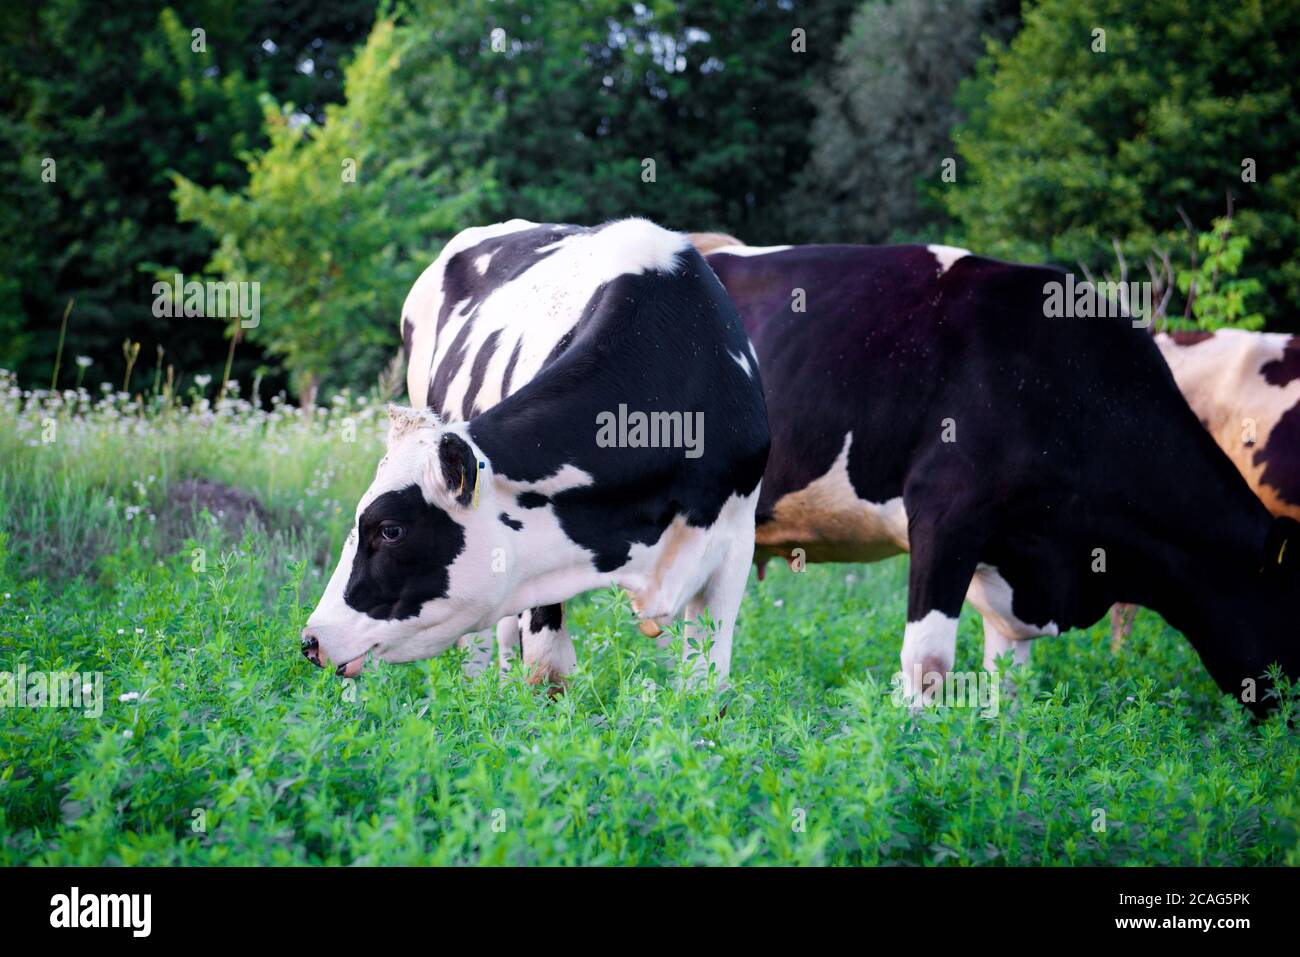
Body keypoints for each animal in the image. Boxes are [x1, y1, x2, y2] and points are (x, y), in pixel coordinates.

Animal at [299, 219, 770, 687]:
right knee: (481, 646)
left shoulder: (735, 544)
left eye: (390, 529)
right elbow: (549, 674)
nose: (311, 639)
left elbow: (706, 680)